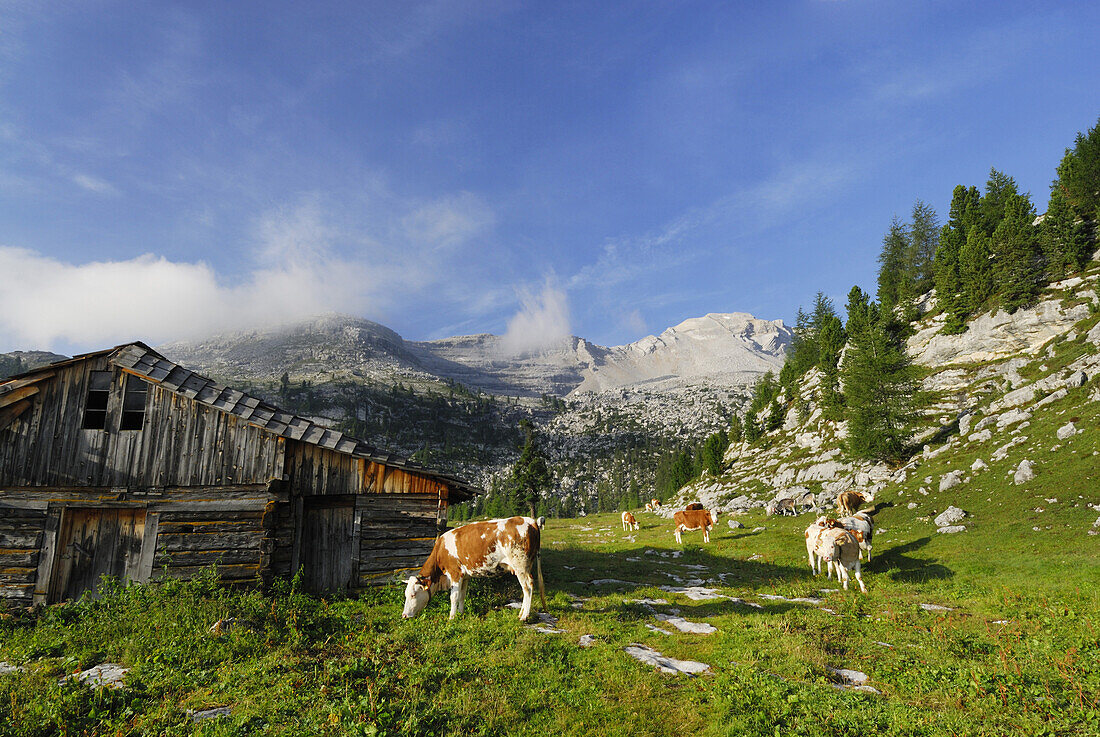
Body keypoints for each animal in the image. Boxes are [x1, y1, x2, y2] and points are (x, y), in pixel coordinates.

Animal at [400, 519, 545, 624]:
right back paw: (521, 613)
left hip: (521, 566)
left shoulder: (455, 573)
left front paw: (451, 618)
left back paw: (524, 616)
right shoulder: (465, 576)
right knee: (525, 589)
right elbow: (462, 595)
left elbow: (453, 597)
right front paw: (461, 613)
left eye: (413, 595)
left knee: (528, 587)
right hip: (524, 566)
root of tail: (530, 521)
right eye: (406, 595)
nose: (404, 615)